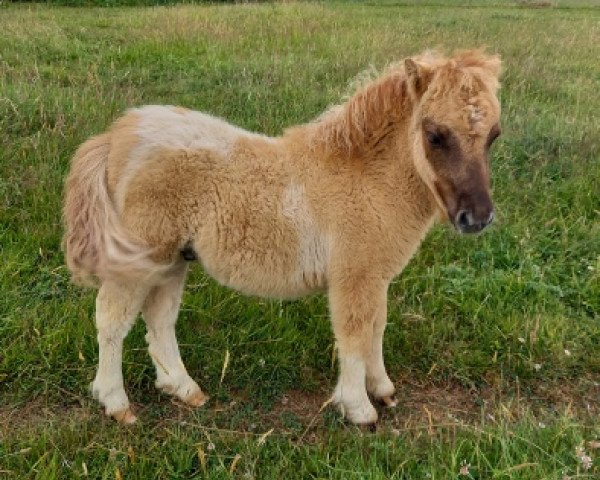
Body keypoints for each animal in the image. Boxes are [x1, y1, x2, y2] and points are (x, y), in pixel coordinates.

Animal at [62, 48, 502, 424]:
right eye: (435, 135)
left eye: (494, 135)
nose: (476, 218)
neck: (363, 178)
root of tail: (116, 137)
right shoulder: (354, 276)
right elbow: (354, 335)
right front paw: (358, 408)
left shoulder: (375, 278)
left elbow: (376, 329)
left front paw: (383, 389)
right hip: (140, 257)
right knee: (112, 319)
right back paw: (116, 403)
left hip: (172, 258)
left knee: (160, 319)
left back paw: (184, 389)